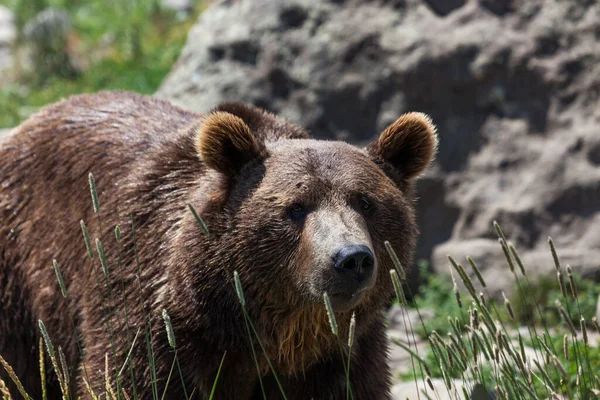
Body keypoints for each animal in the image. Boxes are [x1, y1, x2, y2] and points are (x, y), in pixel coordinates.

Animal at [0, 91, 436, 400]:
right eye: (296, 207)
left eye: (365, 202)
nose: (351, 259)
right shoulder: (154, 326)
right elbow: (127, 380)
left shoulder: (341, 354)